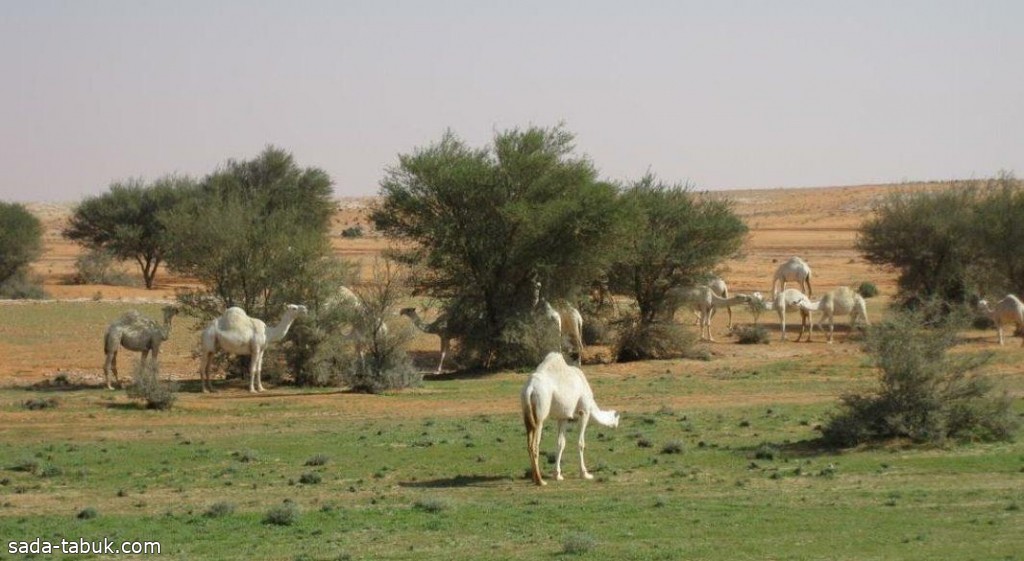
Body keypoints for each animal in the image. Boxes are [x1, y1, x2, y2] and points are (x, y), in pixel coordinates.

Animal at [520, 352, 614, 485]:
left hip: (526, 414)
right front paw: (585, 474)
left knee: (529, 444)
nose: (615, 426)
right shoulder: (584, 411)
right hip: (540, 414)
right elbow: (581, 443)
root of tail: (530, 388)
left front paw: (558, 475)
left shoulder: (563, 417)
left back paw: (534, 478)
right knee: (535, 445)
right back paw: (540, 481)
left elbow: (561, 443)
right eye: (616, 418)